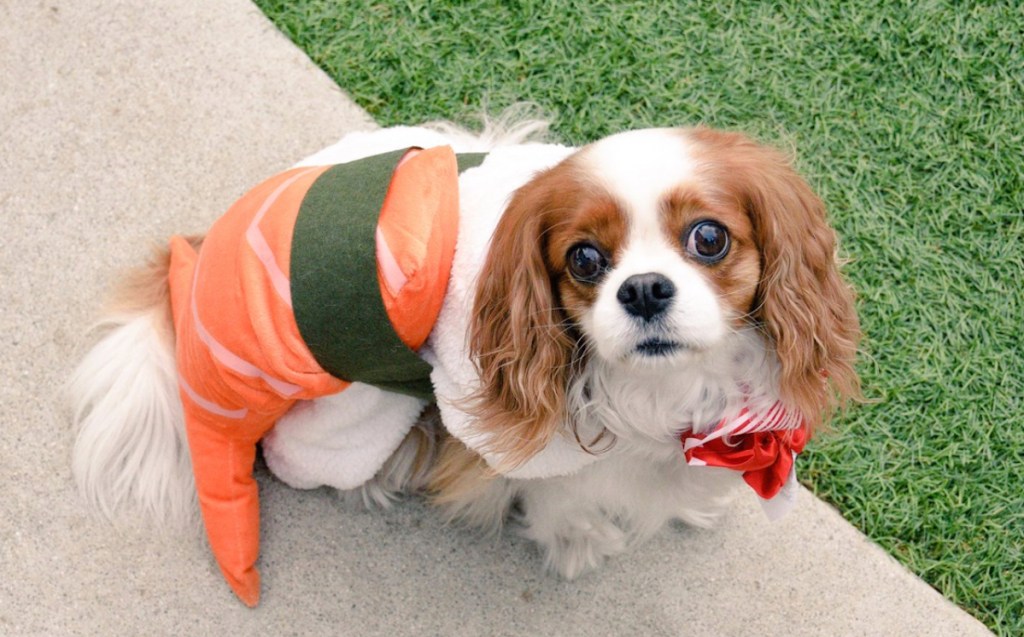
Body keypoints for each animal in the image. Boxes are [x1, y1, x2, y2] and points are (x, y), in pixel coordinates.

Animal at [68, 114, 860, 602]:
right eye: (584, 258)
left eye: (709, 237)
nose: (641, 288)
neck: (662, 388)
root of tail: (203, 259)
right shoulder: (525, 447)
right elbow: (560, 497)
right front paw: (579, 540)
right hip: (351, 412)